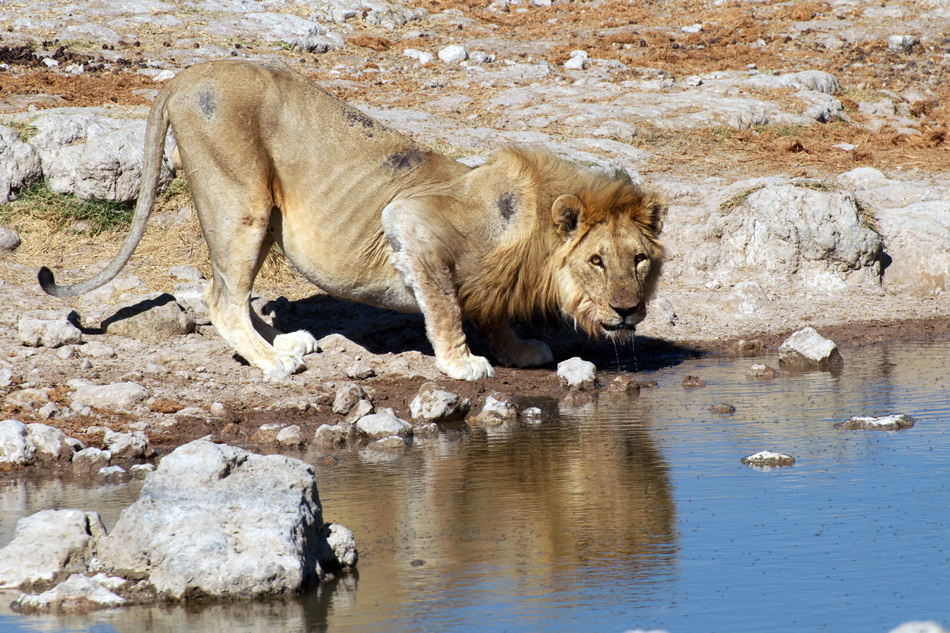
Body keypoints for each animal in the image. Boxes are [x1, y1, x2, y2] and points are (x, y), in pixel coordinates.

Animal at [41, 61, 668, 380]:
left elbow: (488, 311)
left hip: (265, 214)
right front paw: (463, 363)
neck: (534, 233)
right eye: (596, 260)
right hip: (240, 199)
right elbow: (446, 308)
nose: (627, 310)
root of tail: (182, 75)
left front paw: (515, 350)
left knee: (231, 291)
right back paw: (273, 360)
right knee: (222, 299)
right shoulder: (411, 220)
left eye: (639, 260)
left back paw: (286, 341)